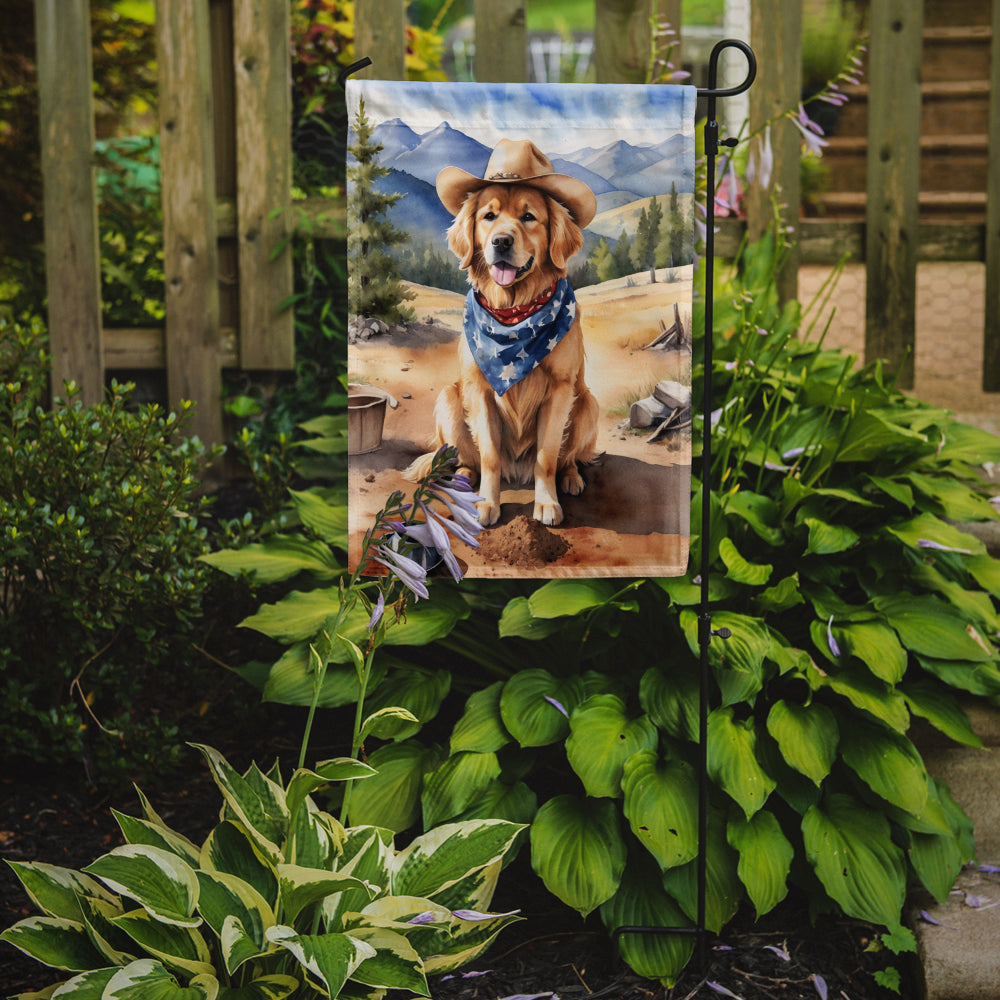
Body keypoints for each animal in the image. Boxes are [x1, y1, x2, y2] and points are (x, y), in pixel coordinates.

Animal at [404, 144, 596, 532]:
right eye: (489, 216)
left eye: (529, 217)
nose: (502, 242)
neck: (514, 314)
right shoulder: (479, 388)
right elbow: (489, 455)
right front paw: (486, 505)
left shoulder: (560, 389)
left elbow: (547, 456)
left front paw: (547, 503)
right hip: (450, 398)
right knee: (468, 458)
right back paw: (463, 477)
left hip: (586, 403)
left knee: (568, 456)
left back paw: (571, 478)